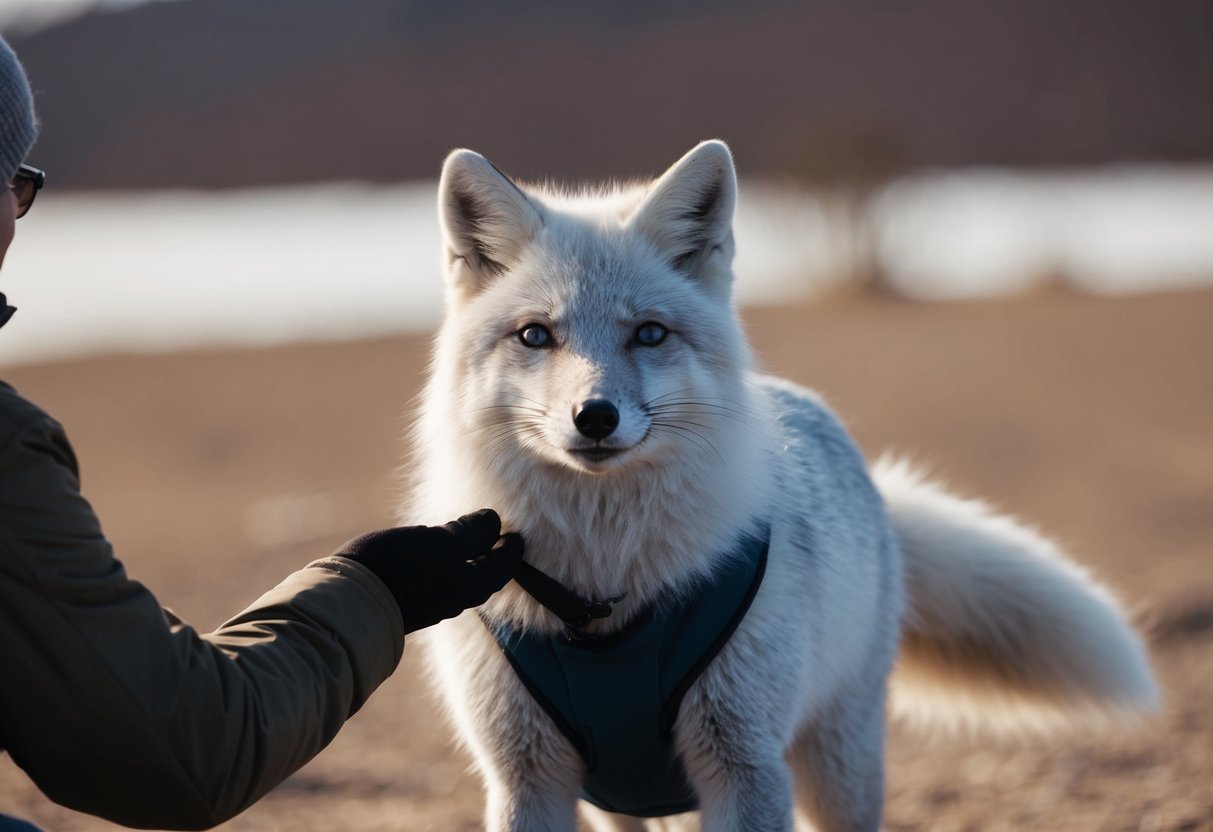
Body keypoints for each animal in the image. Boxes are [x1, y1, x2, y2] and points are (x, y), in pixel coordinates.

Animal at [402, 140, 1158, 831]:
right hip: (622, 804)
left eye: (649, 334)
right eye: (536, 335)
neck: (601, 596)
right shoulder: (526, 778)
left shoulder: (744, 762)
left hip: (837, 767)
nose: (595, 417)